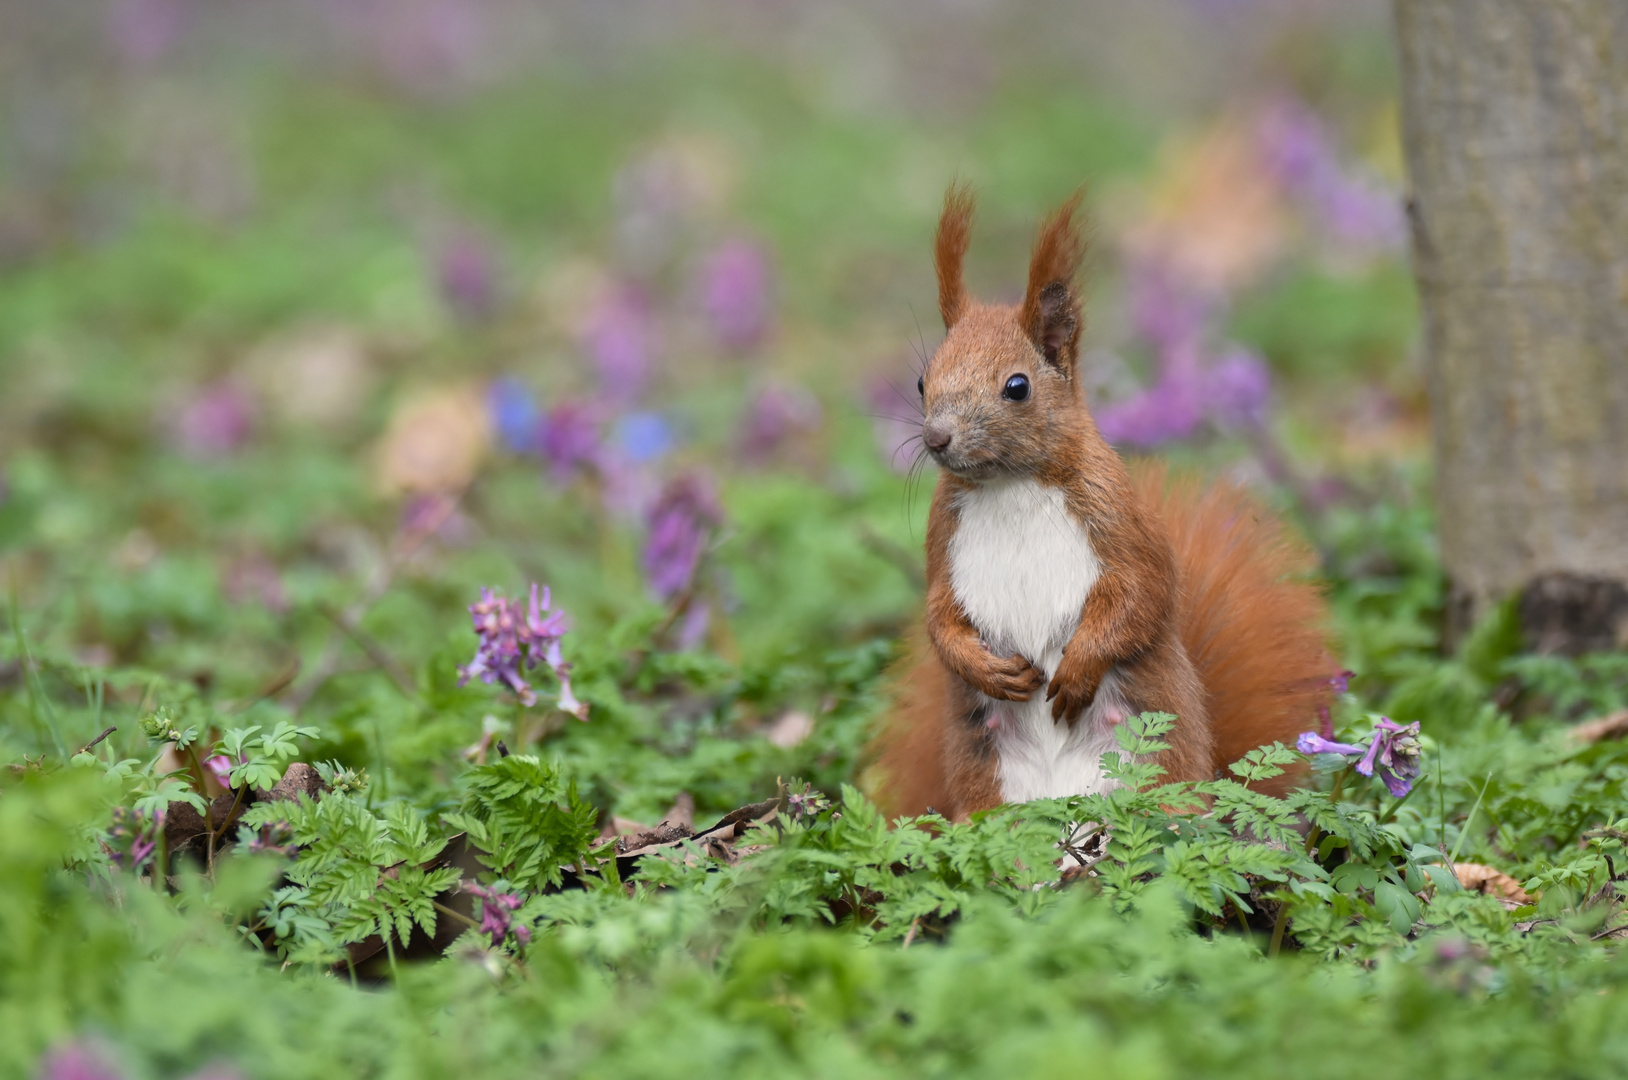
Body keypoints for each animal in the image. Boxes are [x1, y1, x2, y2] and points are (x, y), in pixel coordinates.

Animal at [879, 188, 1334, 820]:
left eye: (1017, 386)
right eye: (923, 382)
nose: (936, 438)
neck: (1009, 484)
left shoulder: (1118, 518)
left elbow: (1143, 595)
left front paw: (1076, 670)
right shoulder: (942, 541)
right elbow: (939, 615)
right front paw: (985, 668)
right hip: (985, 780)